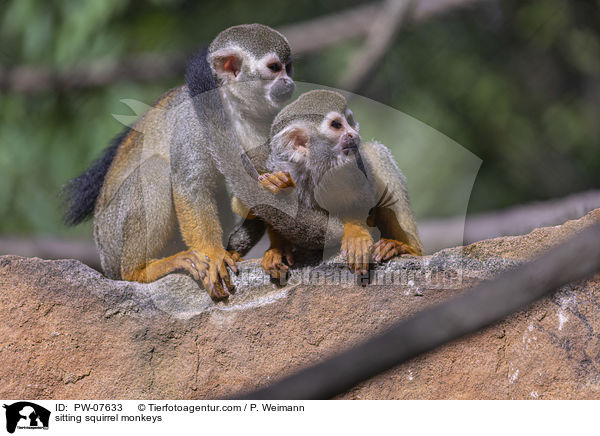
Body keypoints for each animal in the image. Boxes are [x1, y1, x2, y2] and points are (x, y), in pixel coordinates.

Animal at [62, 24, 294, 300]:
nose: (289, 83)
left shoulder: (260, 122)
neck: (231, 107)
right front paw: (214, 254)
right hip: (111, 239)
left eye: (289, 67)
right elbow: (189, 186)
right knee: (156, 170)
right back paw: (140, 270)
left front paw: (278, 248)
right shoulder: (192, 121)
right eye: (274, 67)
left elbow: (261, 188)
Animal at [229, 90, 422, 278]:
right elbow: (259, 206)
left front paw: (355, 233)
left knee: (375, 152)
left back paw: (407, 248)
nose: (354, 134)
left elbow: (363, 202)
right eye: (336, 125)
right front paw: (279, 247)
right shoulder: (275, 165)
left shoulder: (354, 165)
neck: (318, 167)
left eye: (349, 121)